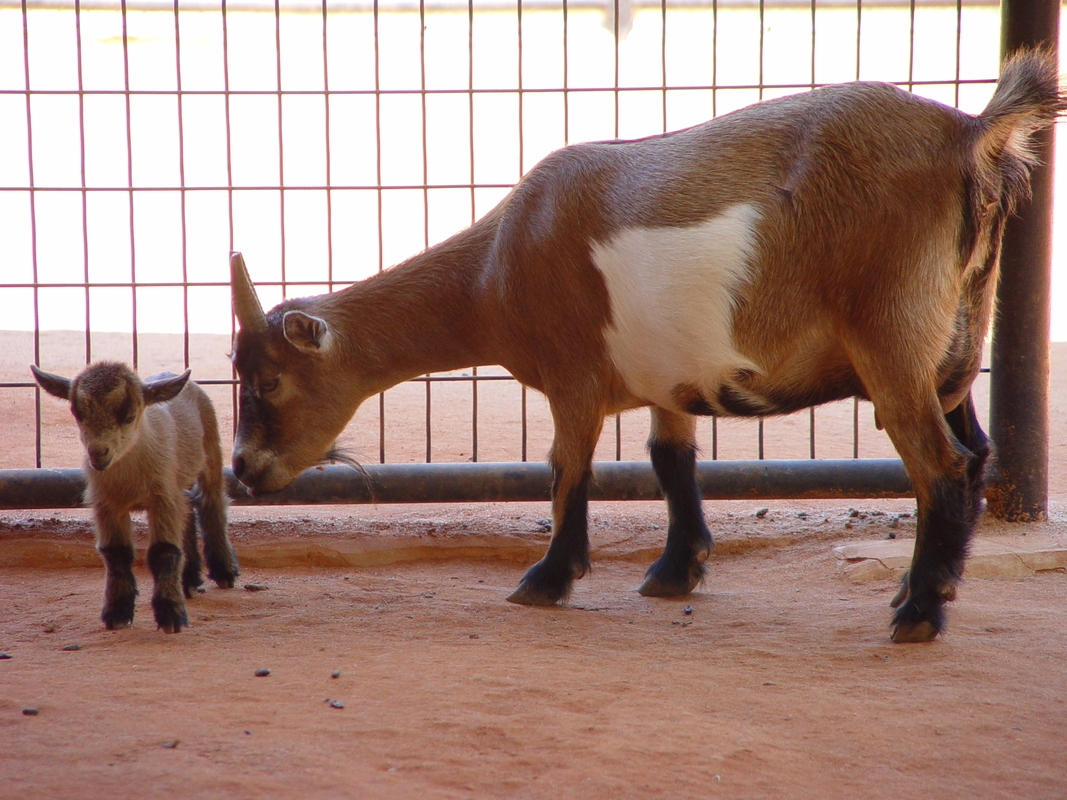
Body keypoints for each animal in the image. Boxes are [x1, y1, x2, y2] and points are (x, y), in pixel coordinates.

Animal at [32, 362, 239, 631]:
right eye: (78, 415)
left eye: (129, 417)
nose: (98, 453)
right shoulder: (107, 503)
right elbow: (115, 552)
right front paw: (117, 612)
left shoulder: (161, 499)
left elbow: (164, 551)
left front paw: (171, 615)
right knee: (187, 510)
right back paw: (190, 580)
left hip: (212, 447)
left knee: (211, 501)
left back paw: (224, 571)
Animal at [229, 50, 1062, 644]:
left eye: (268, 381)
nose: (241, 470)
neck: (497, 264)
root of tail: (967, 137)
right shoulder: (676, 378)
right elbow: (670, 461)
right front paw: (674, 570)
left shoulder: (571, 373)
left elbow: (566, 468)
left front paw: (546, 579)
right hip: (950, 343)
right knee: (974, 453)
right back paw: (933, 588)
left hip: (889, 332)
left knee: (939, 465)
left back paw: (916, 612)